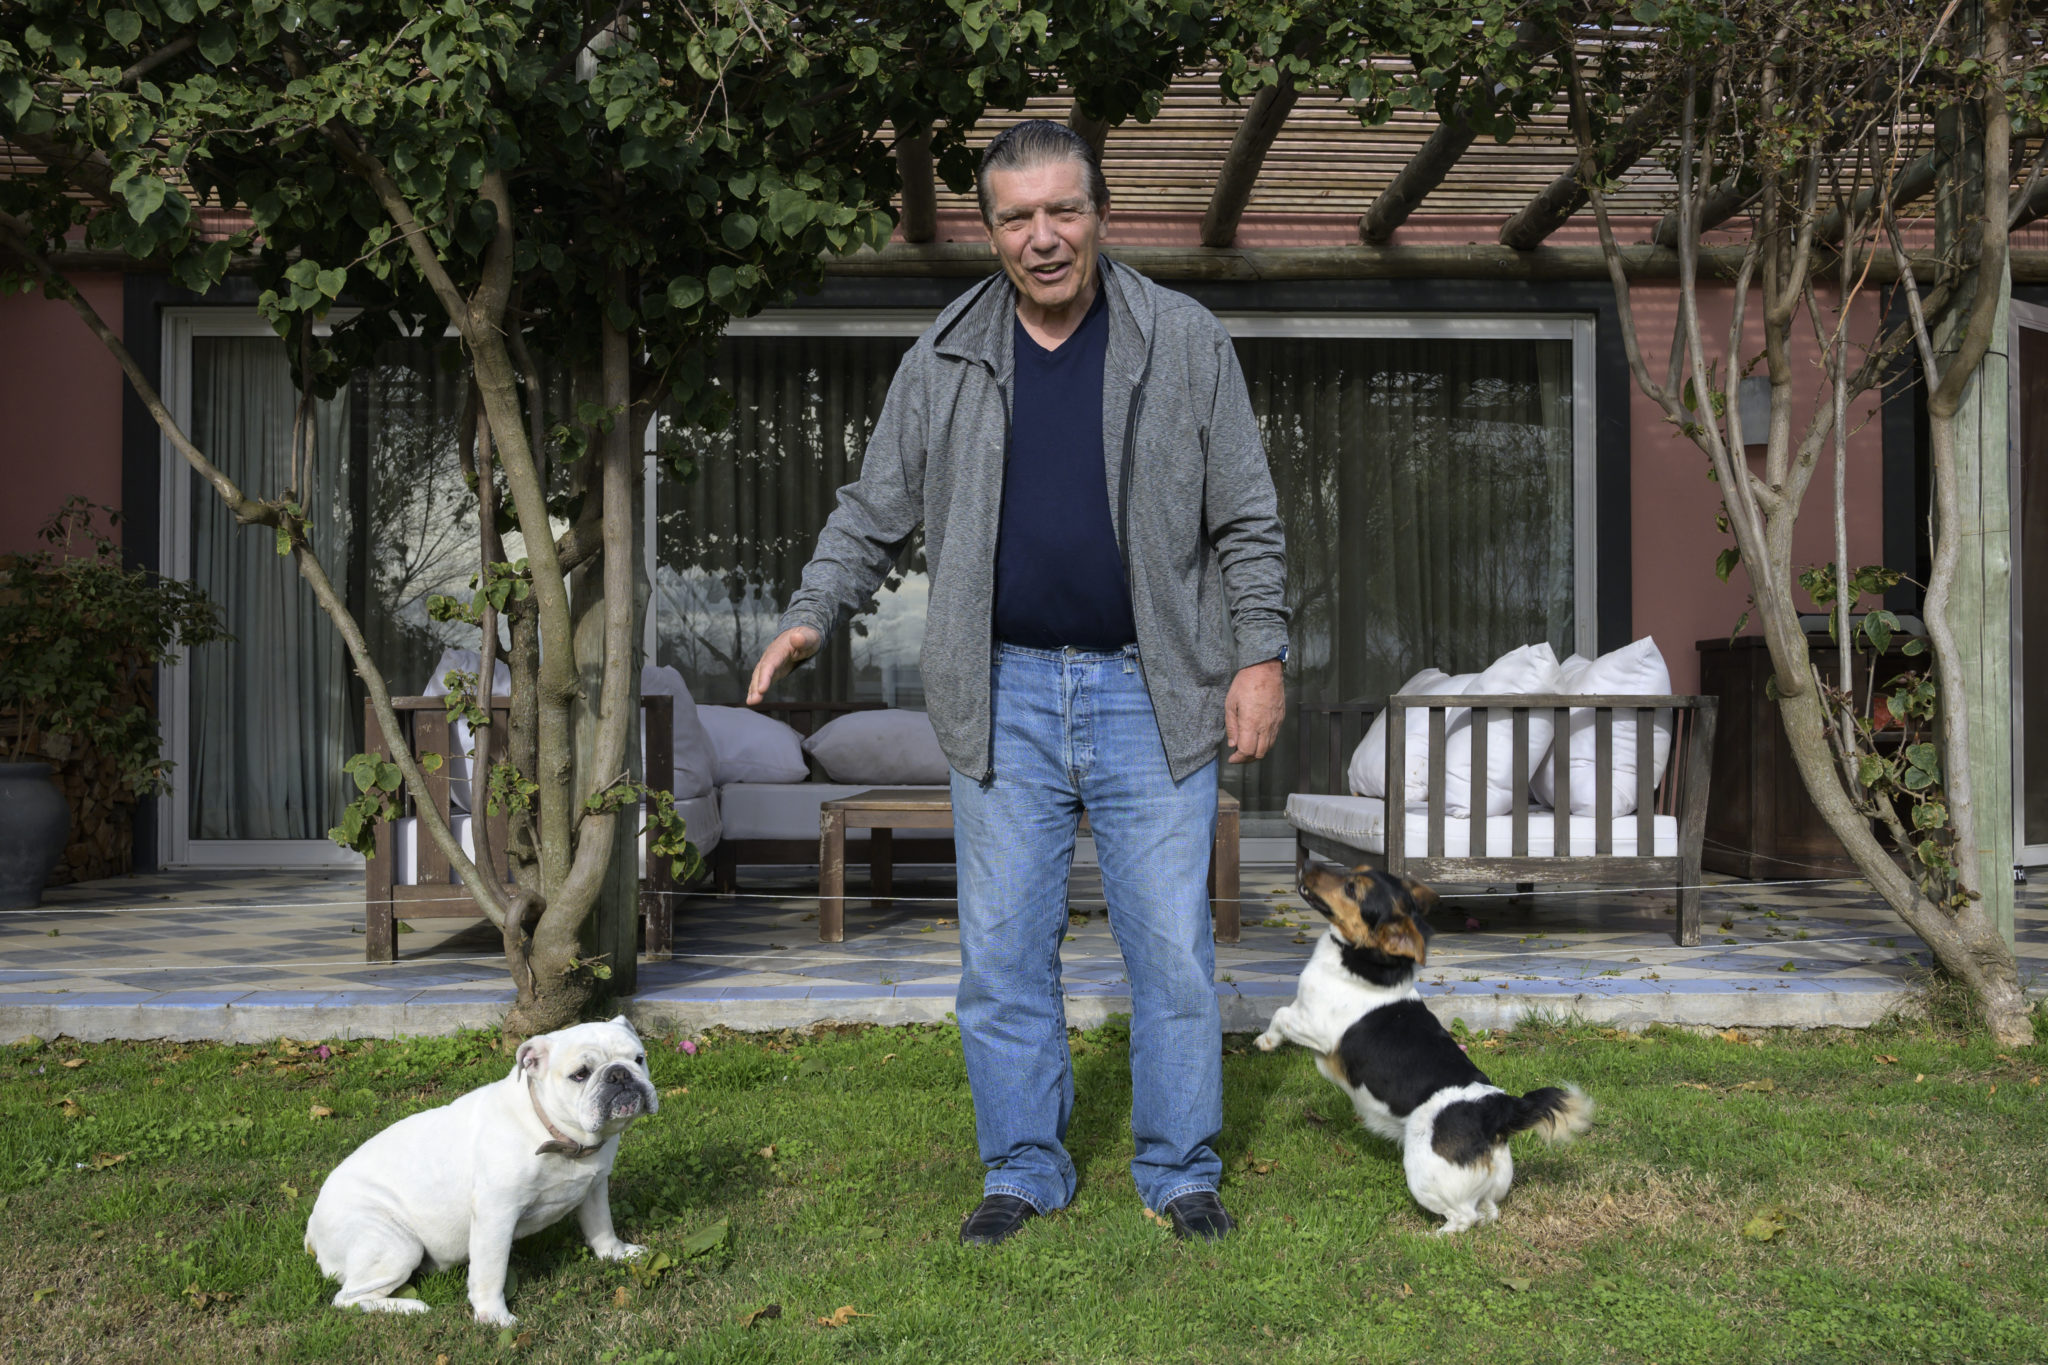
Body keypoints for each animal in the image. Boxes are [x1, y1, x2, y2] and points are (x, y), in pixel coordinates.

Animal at [1245, 863, 1597, 1236]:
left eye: (1353, 888)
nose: (1309, 865)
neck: (1368, 962)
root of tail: (1495, 1111)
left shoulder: (1316, 1027)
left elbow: (1280, 1015)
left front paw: (1265, 1041)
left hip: (1424, 1172)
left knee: (1463, 1218)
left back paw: (1433, 1237)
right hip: (1489, 1183)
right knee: (1487, 1212)